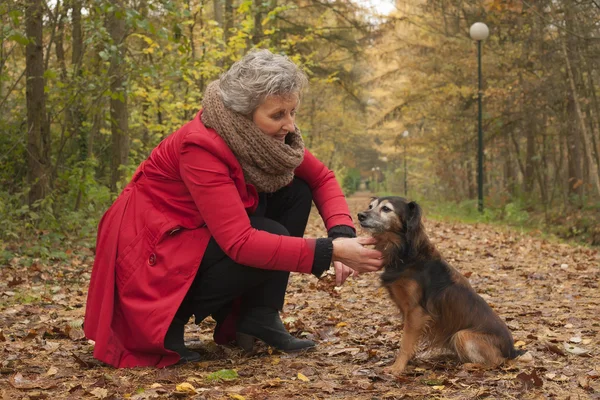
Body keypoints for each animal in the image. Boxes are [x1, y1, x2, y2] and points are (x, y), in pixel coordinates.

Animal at [358, 197, 524, 376]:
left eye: (386, 209)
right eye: (370, 206)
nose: (360, 215)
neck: (406, 254)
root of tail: (512, 351)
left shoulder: (416, 312)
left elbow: (405, 343)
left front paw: (397, 367)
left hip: (462, 335)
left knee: (497, 362)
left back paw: (469, 365)